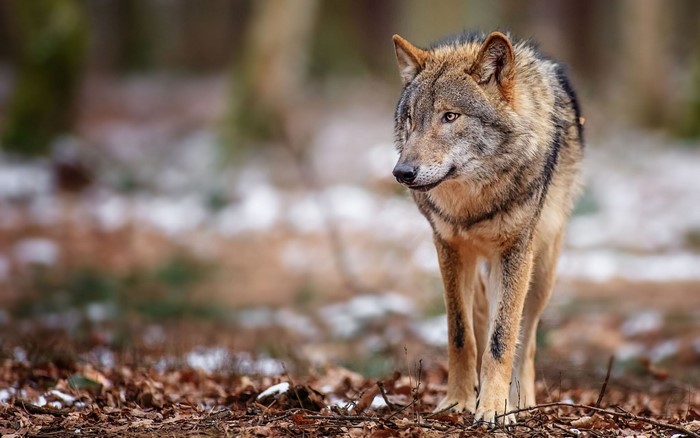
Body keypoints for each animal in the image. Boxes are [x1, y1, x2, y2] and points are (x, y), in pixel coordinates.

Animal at [390, 31, 583, 424]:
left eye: (450, 116)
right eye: (410, 119)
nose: (402, 172)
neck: (472, 203)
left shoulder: (514, 252)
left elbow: (502, 339)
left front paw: (496, 408)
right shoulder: (448, 248)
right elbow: (460, 334)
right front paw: (458, 401)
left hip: (541, 272)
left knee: (527, 338)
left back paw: (521, 399)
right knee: (480, 316)